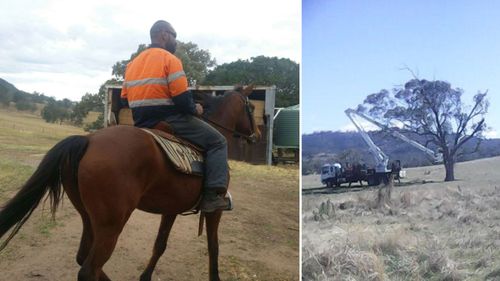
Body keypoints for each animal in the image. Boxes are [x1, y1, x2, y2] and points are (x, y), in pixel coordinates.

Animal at [0, 85, 260, 280]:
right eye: (252, 107)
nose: (257, 134)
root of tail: (88, 140)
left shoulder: (171, 209)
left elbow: (160, 244)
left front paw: (145, 277)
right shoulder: (215, 210)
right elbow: (213, 247)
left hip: (89, 218)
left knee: (83, 258)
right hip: (112, 224)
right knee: (88, 269)